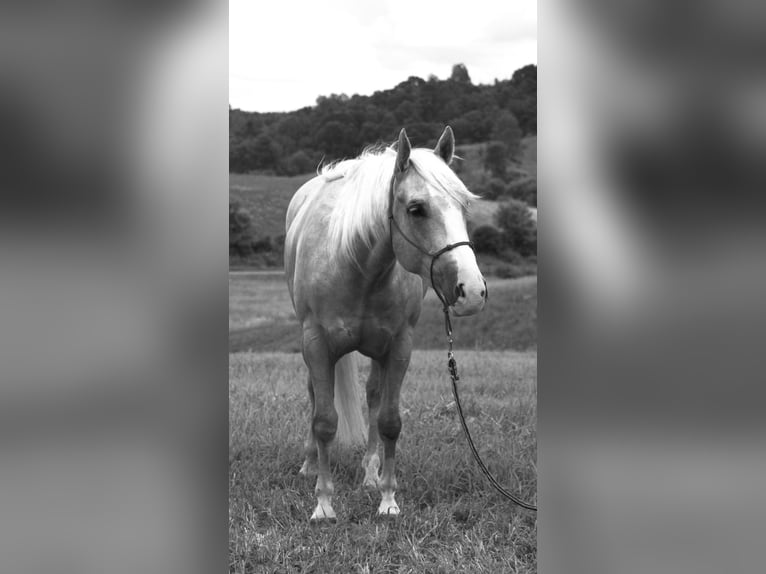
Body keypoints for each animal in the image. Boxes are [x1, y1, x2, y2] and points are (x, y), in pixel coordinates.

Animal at [284, 126, 487, 521]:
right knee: (315, 396)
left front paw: (388, 499)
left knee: (374, 397)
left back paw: (370, 473)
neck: (356, 265)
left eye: (464, 206)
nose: (471, 291)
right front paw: (323, 504)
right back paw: (310, 464)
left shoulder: (398, 347)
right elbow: (324, 420)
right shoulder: (316, 345)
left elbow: (389, 421)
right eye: (416, 209)